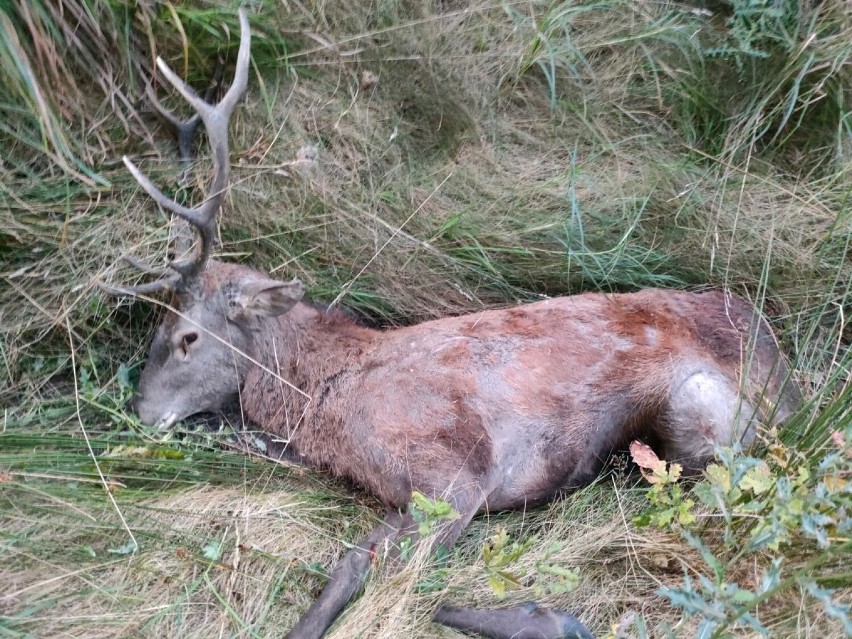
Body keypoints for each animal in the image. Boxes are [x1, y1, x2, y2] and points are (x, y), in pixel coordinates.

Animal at [103, 10, 804, 639]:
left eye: (186, 337)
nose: (141, 412)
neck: (334, 400)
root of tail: (785, 366)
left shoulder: (456, 470)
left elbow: (376, 573)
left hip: (704, 412)